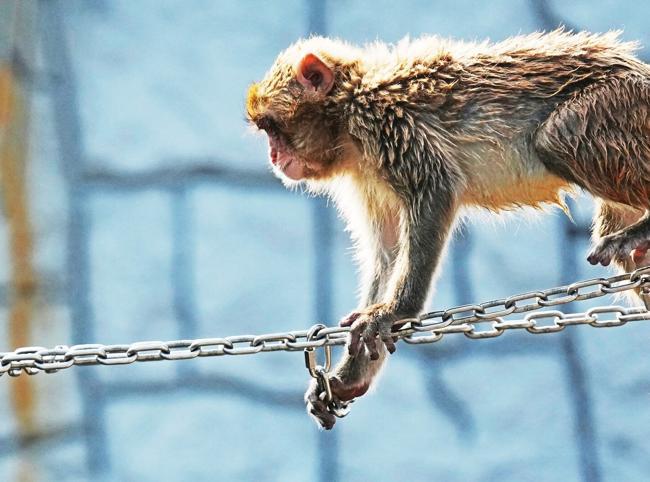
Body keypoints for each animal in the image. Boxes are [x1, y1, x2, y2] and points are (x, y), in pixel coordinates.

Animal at [245, 30, 650, 429]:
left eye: (273, 129)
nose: (274, 156)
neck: (348, 111)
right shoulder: (366, 172)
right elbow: (388, 252)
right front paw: (350, 376)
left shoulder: (387, 123)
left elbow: (434, 190)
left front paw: (395, 312)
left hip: (617, 103)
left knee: (556, 137)